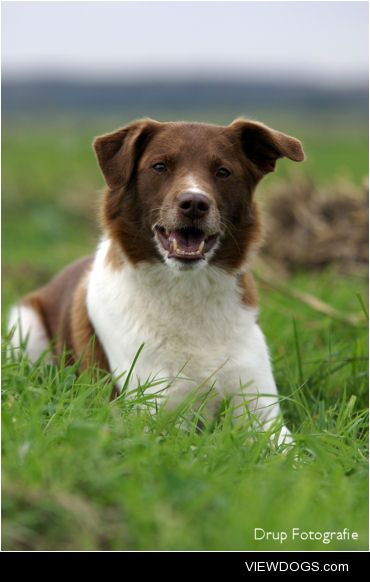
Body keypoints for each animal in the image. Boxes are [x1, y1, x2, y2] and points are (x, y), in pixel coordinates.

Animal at [7, 120, 304, 448]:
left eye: (223, 171)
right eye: (159, 166)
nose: (194, 203)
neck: (187, 291)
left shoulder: (263, 414)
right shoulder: (151, 415)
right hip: (24, 326)